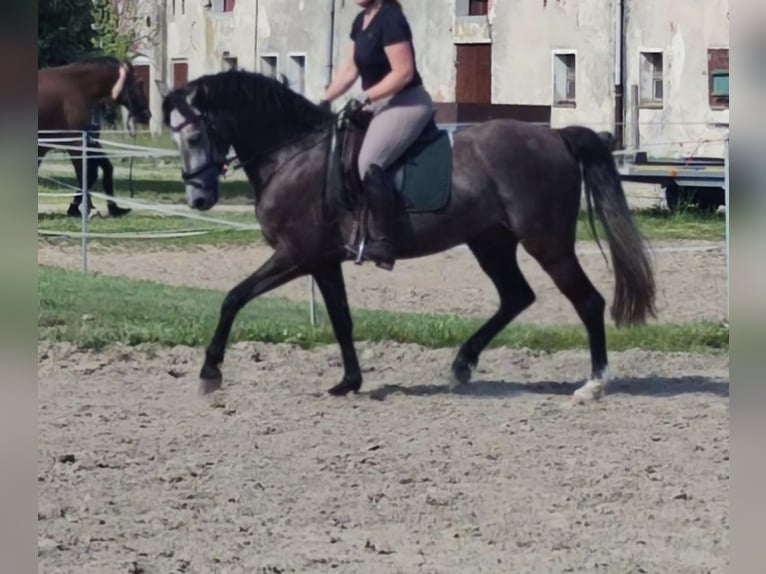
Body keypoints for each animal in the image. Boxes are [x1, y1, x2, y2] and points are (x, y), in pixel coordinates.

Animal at [38, 56, 151, 217]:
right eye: (140, 82)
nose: (146, 115)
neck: (77, 88)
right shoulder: (76, 144)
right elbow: (86, 175)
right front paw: (78, 208)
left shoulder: (89, 142)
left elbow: (101, 170)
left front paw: (112, 208)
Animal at [158, 69, 656, 402]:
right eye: (177, 138)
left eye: (196, 135)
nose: (198, 198)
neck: (294, 154)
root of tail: (554, 137)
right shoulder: (322, 261)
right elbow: (341, 319)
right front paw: (349, 382)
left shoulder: (295, 254)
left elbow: (234, 297)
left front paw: (210, 372)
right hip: (490, 242)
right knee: (517, 296)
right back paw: (461, 365)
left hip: (547, 244)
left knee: (587, 301)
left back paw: (593, 383)